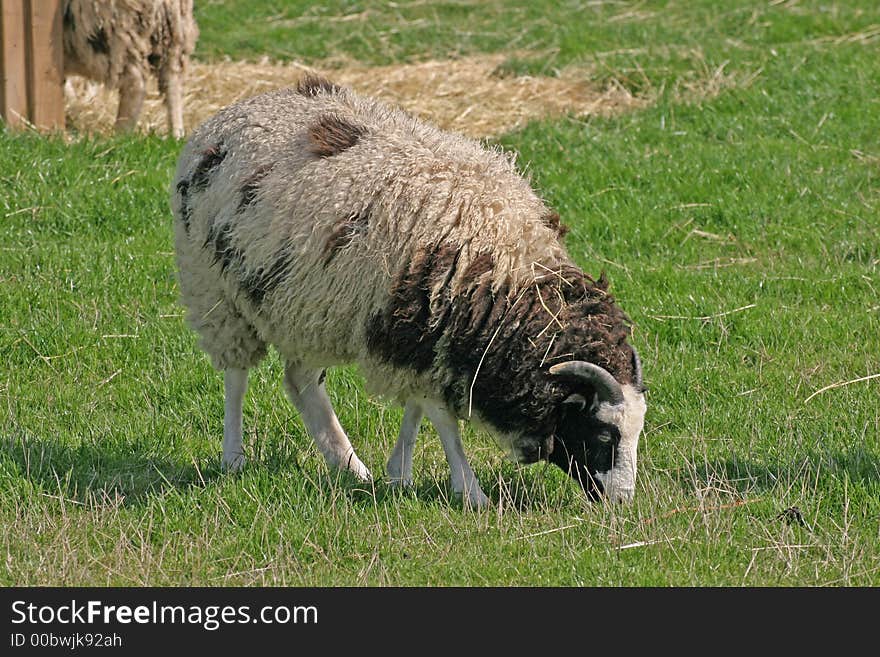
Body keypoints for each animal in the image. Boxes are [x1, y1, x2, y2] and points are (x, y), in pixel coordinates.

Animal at [62, 0, 198, 137]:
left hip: (109, 31)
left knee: (136, 83)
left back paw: (120, 135)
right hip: (174, 31)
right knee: (172, 82)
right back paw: (176, 134)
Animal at [170, 75, 648, 508]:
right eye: (604, 432)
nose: (623, 502)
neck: (504, 273)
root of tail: (230, 113)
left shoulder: (416, 335)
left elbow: (417, 407)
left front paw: (397, 473)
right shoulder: (415, 331)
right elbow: (441, 416)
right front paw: (471, 492)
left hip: (308, 304)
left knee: (300, 381)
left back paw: (349, 466)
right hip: (216, 292)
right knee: (236, 376)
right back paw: (234, 457)